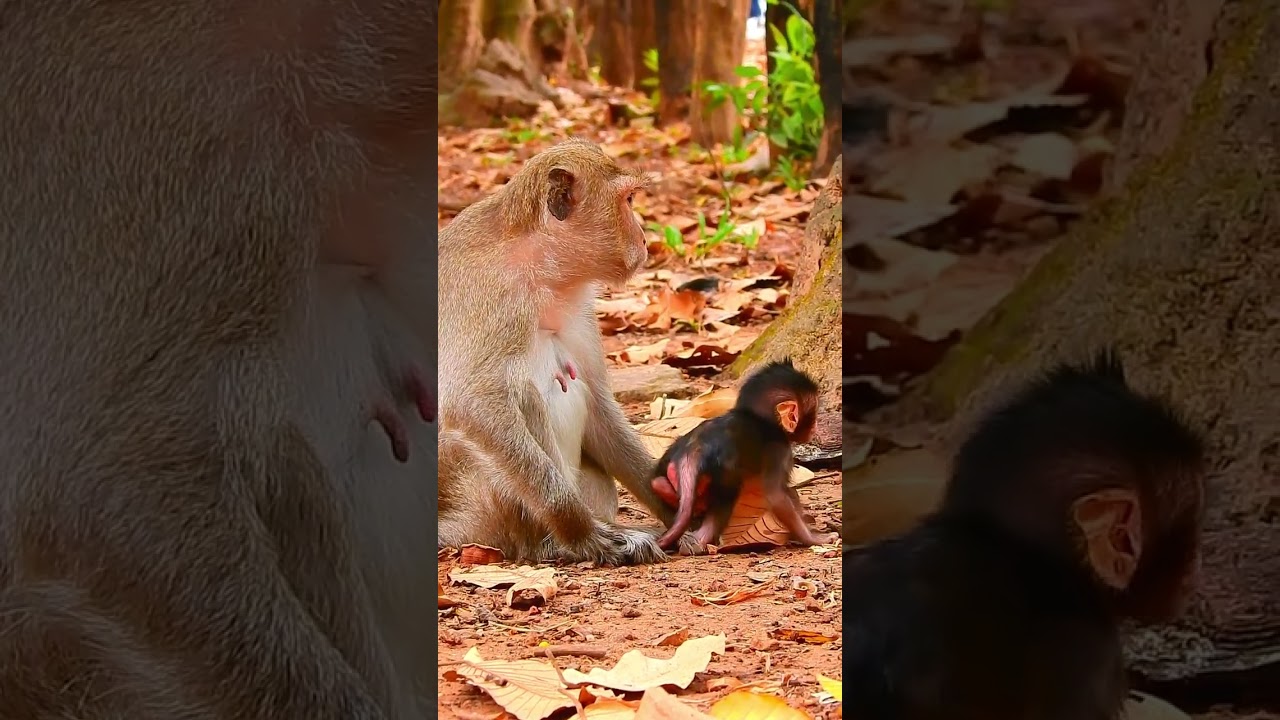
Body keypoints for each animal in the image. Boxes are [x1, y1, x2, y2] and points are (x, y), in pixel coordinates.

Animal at [436, 139, 695, 566]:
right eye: (627, 200)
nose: (644, 239)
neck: (540, 268)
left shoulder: (579, 306)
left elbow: (600, 404)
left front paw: (678, 514)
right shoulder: (493, 297)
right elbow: (470, 405)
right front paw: (585, 533)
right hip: (481, 512)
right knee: (521, 392)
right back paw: (555, 542)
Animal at [651, 359, 839, 550]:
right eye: (813, 414)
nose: (815, 427)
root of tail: (694, 450)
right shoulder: (779, 450)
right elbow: (777, 496)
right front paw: (814, 538)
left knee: (658, 484)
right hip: (724, 472)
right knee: (727, 495)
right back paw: (700, 540)